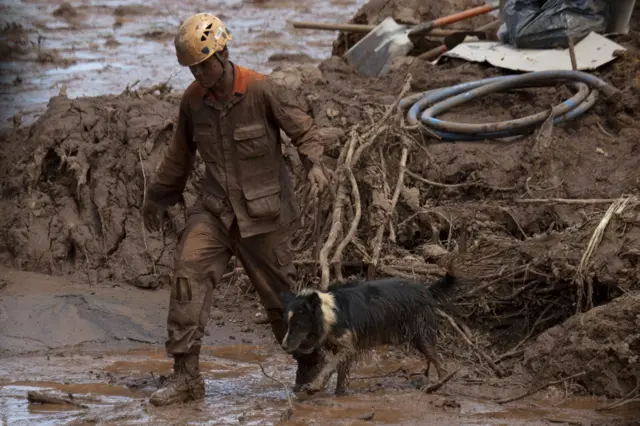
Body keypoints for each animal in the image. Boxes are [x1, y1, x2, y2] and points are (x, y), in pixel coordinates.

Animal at [280, 272, 456, 394]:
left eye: (297, 325)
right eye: (287, 325)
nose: (283, 347)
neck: (328, 314)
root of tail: (426, 290)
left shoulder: (348, 347)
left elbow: (329, 366)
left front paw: (314, 386)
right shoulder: (344, 349)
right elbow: (341, 377)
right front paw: (339, 395)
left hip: (420, 335)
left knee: (441, 363)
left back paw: (436, 385)